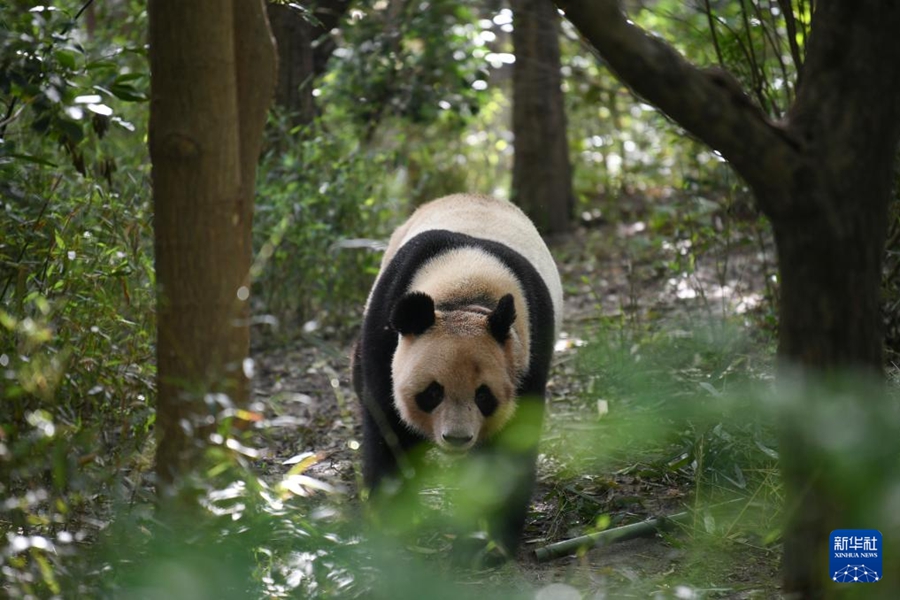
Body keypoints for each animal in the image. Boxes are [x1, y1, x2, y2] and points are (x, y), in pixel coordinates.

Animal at [354, 195, 560, 560]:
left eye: (484, 395)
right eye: (432, 392)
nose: (457, 438)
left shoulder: (527, 355)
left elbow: (509, 449)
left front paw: (486, 546)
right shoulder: (385, 327)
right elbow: (387, 429)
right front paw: (391, 525)